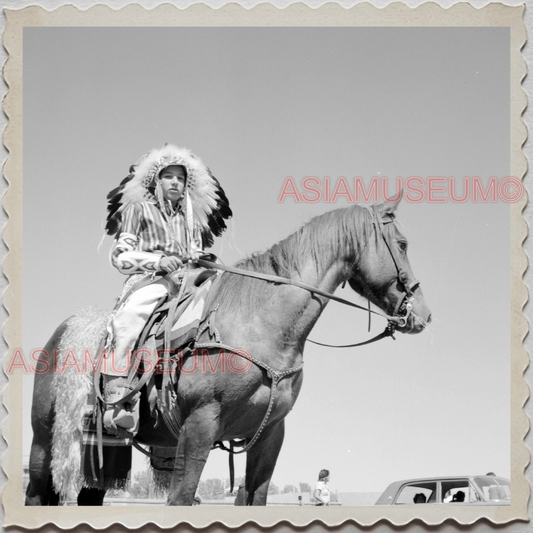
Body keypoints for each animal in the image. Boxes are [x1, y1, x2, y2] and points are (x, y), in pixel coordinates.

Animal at [27, 197, 430, 504]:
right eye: (403, 244)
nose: (423, 314)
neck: (258, 326)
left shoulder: (269, 434)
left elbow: (254, 498)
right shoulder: (199, 426)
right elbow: (181, 498)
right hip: (44, 442)